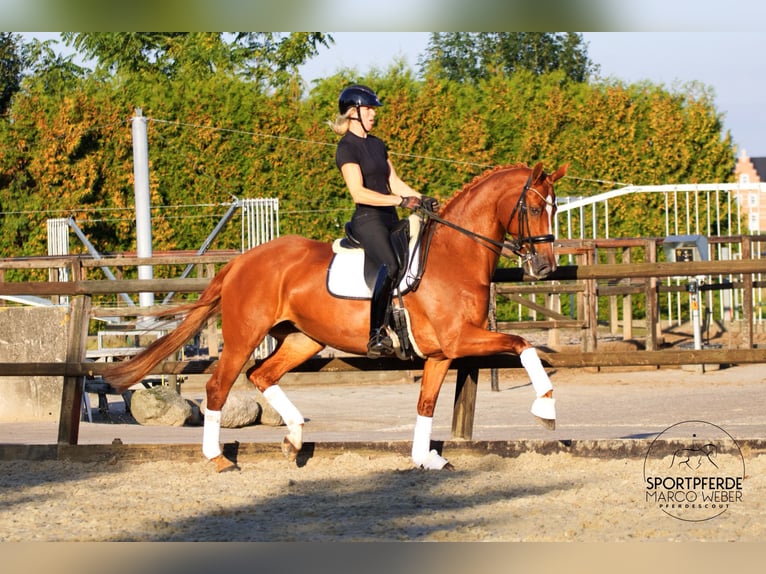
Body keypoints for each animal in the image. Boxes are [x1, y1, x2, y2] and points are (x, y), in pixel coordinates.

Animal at [104, 161, 569, 472]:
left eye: (554, 208)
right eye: (532, 208)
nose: (545, 267)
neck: (452, 255)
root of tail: (240, 261)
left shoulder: (441, 353)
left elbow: (426, 403)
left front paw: (425, 458)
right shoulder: (460, 338)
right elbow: (524, 346)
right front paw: (546, 409)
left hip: (302, 338)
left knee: (262, 375)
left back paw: (293, 437)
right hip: (245, 335)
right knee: (220, 385)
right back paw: (218, 458)